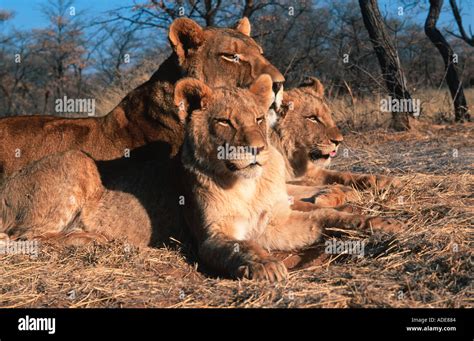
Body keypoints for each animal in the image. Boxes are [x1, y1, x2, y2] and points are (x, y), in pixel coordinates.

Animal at [0, 75, 404, 280]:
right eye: (224, 122)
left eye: (259, 118)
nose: (257, 149)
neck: (247, 184)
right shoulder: (211, 238)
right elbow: (241, 247)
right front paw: (266, 266)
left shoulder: (276, 222)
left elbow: (327, 215)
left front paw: (379, 222)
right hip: (76, 162)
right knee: (23, 238)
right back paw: (89, 239)